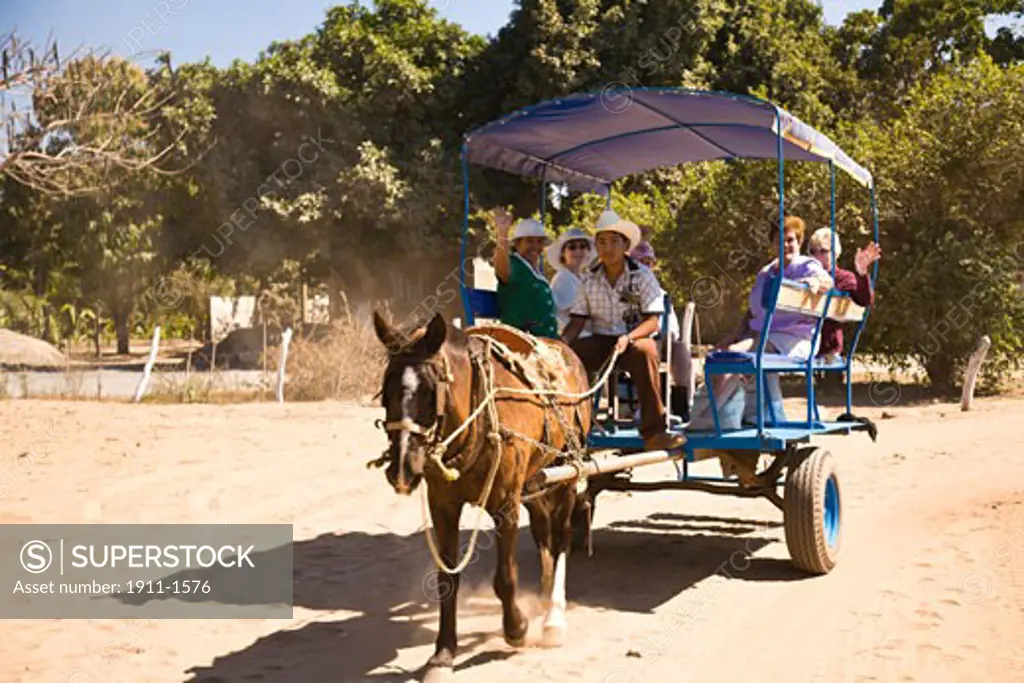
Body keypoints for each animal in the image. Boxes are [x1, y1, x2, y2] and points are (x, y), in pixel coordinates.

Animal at [370, 311, 593, 683]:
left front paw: (516, 628)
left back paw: (553, 618)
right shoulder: (443, 507)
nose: (402, 469)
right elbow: (447, 579)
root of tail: (564, 349)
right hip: (535, 483)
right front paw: (443, 653)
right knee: (544, 534)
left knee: (561, 539)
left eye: (430, 391)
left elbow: (505, 578)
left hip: (566, 471)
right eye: (385, 391)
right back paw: (544, 594)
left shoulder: (506, 505)